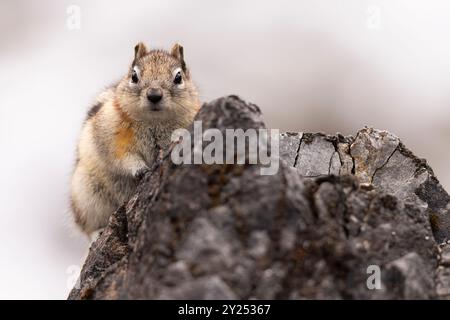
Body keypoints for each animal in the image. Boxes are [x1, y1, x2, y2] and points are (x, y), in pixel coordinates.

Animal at [71, 42, 200, 236]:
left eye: (178, 77)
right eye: (134, 76)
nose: (154, 95)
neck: (155, 122)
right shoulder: (112, 136)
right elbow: (123, 157)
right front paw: (140, 169)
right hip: (87, 194)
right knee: (88, 227)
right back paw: (97, 233)